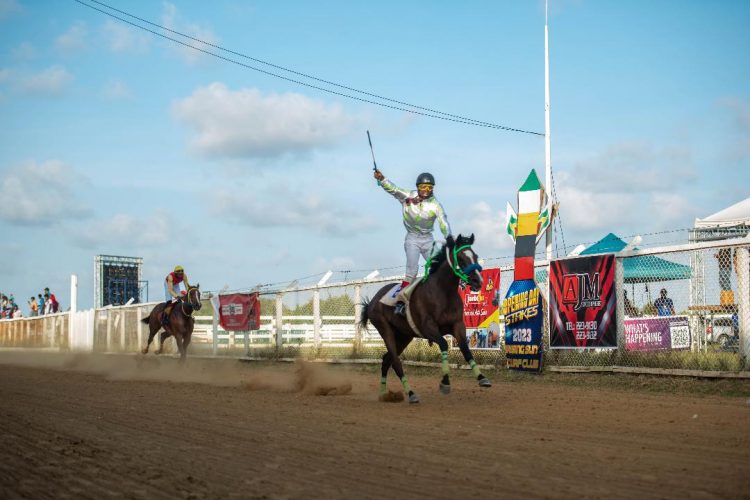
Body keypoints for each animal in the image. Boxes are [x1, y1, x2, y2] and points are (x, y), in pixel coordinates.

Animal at [360, 234, 490, 402]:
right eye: (461, 258)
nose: (478, 281)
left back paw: (383, 394)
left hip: (403, 336)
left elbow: (466, 349)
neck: (443, 292)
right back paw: (411, 394)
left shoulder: (457, 325)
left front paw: (482, 378)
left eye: (475, 256)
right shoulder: (428, 328)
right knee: (395, 362)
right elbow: (444, 345)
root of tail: (373, 300)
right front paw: (445, 382)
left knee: (386, 360)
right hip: (385, 329)